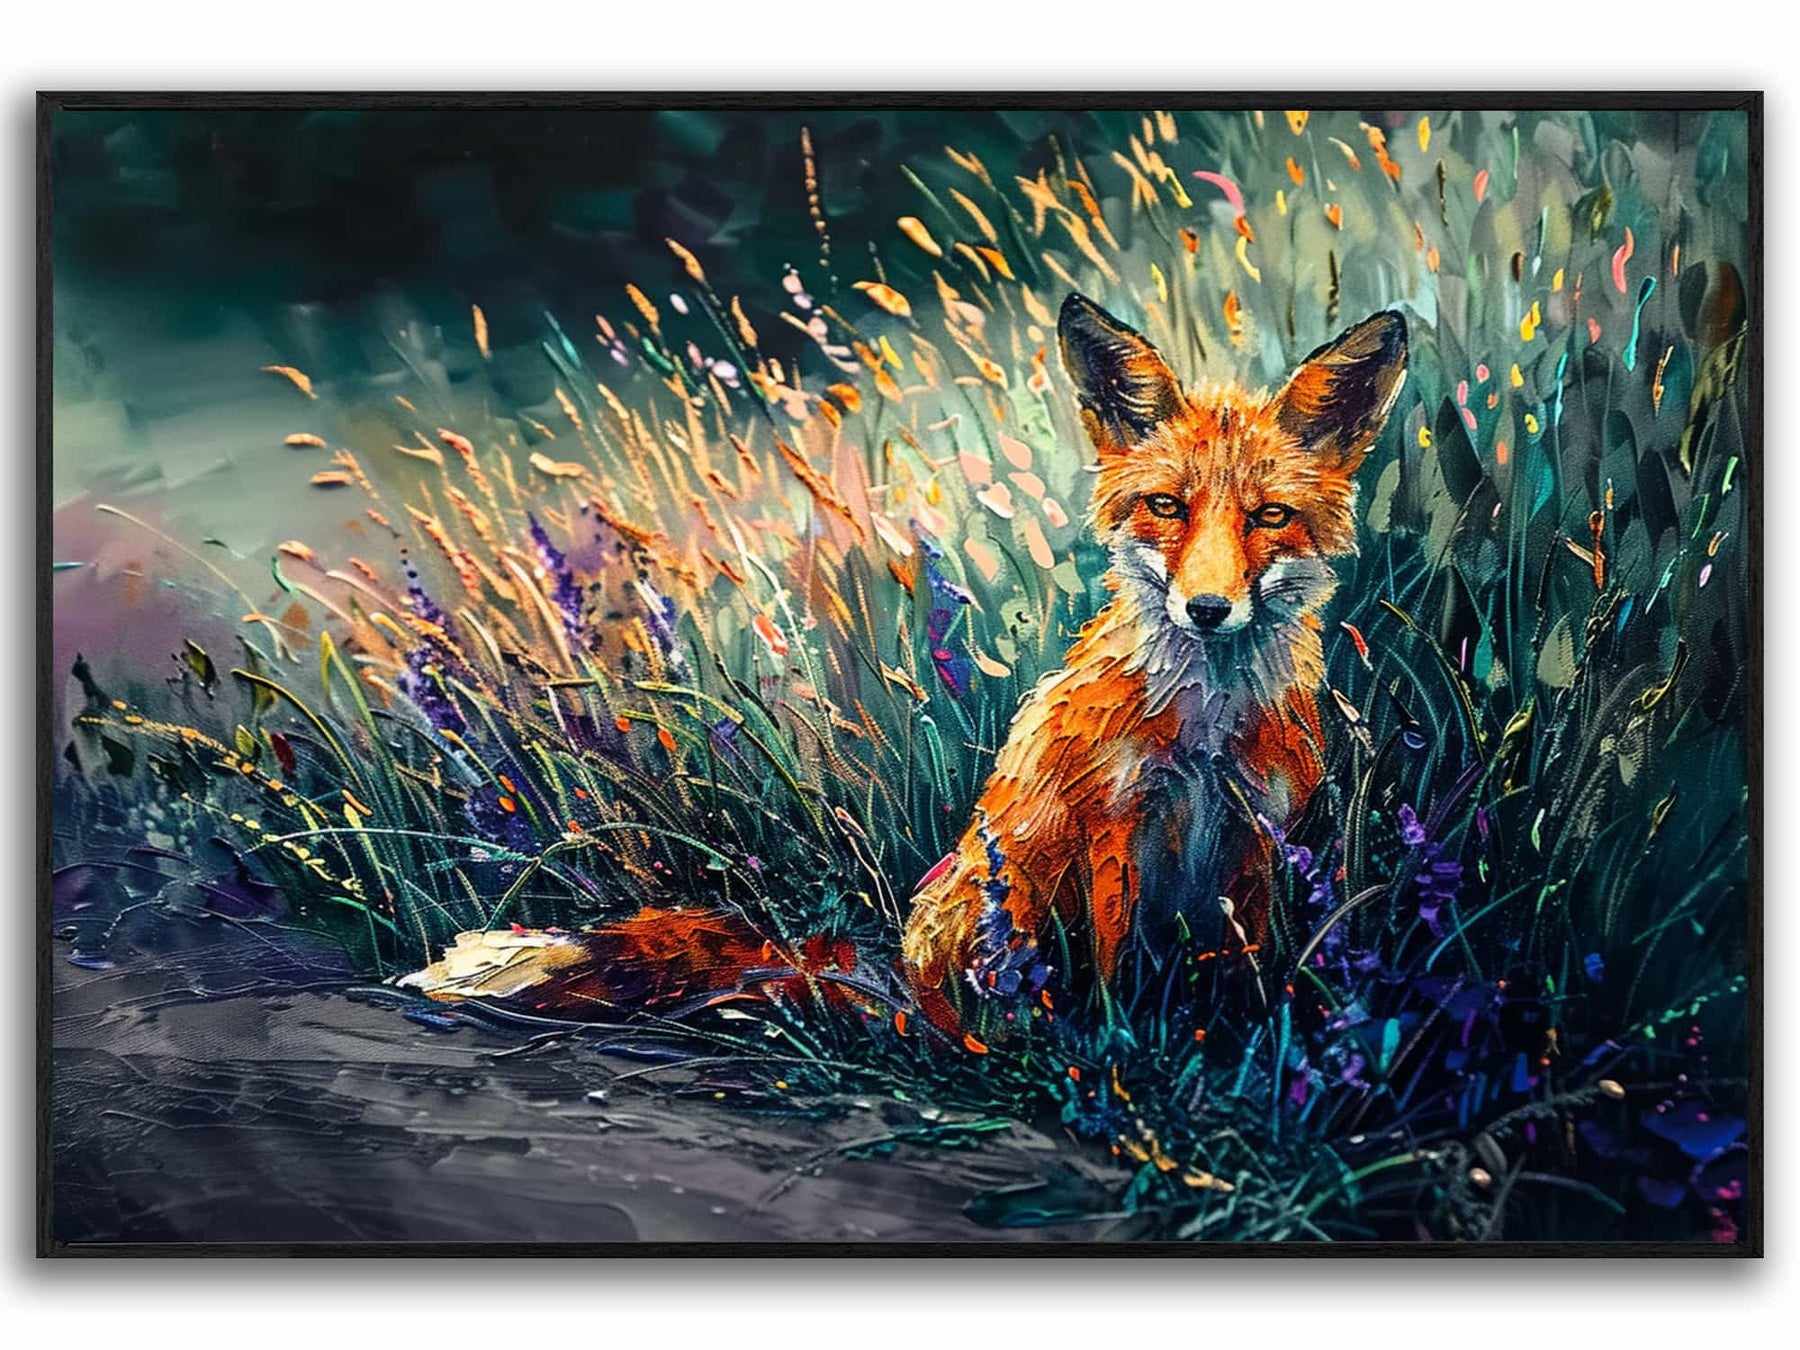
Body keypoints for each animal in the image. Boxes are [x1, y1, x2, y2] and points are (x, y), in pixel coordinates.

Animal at [402, 295, 1408, 1038]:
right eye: (1168, 506)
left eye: (1268, 517)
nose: (1205, 608)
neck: (1206, 735)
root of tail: (895, 973)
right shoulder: (1114, 826)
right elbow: (1119, 969)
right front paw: (1125, 1053)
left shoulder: (1259, 833)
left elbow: (1250, 974)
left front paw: (1242, 1044)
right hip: (995, 901)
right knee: (968, 1016)